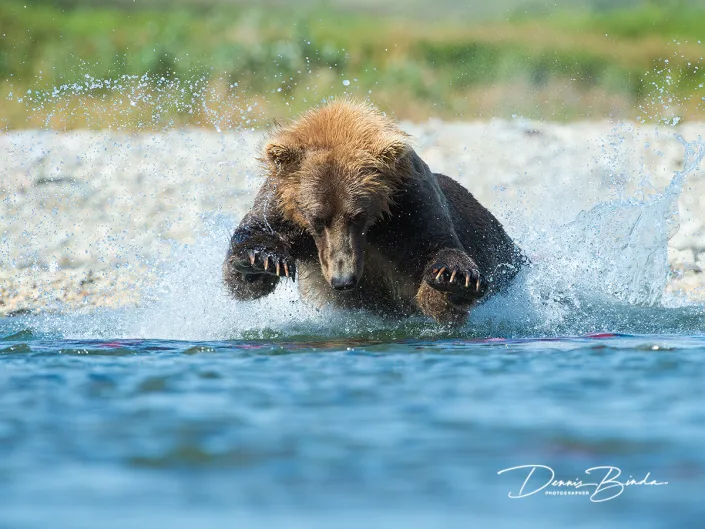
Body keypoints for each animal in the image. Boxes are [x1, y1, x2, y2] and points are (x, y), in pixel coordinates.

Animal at [223, 98, 525, 326]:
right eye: (317, 218)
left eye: (357, 215)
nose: (343, 280)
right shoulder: (281, 206)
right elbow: (244, 264)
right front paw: (261, 260)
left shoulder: (409, 207)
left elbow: (435, 255)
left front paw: (454, 279)